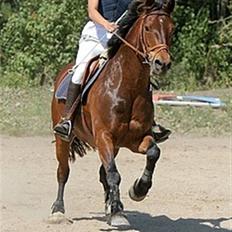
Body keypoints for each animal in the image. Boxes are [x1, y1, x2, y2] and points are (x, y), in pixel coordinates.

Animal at [49, 0, 175, 227]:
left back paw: (112, 205)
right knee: (63, 171)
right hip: (63, 138)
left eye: (172, 29)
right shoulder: (104, 136)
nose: (162, 63)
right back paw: (58, 211)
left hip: (113, 146)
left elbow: (153, 153)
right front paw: (118, 214)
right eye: (147, 28)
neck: (128, 86)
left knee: (102, 173)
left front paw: (138, 190)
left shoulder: (135, 139)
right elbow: (113, 174)